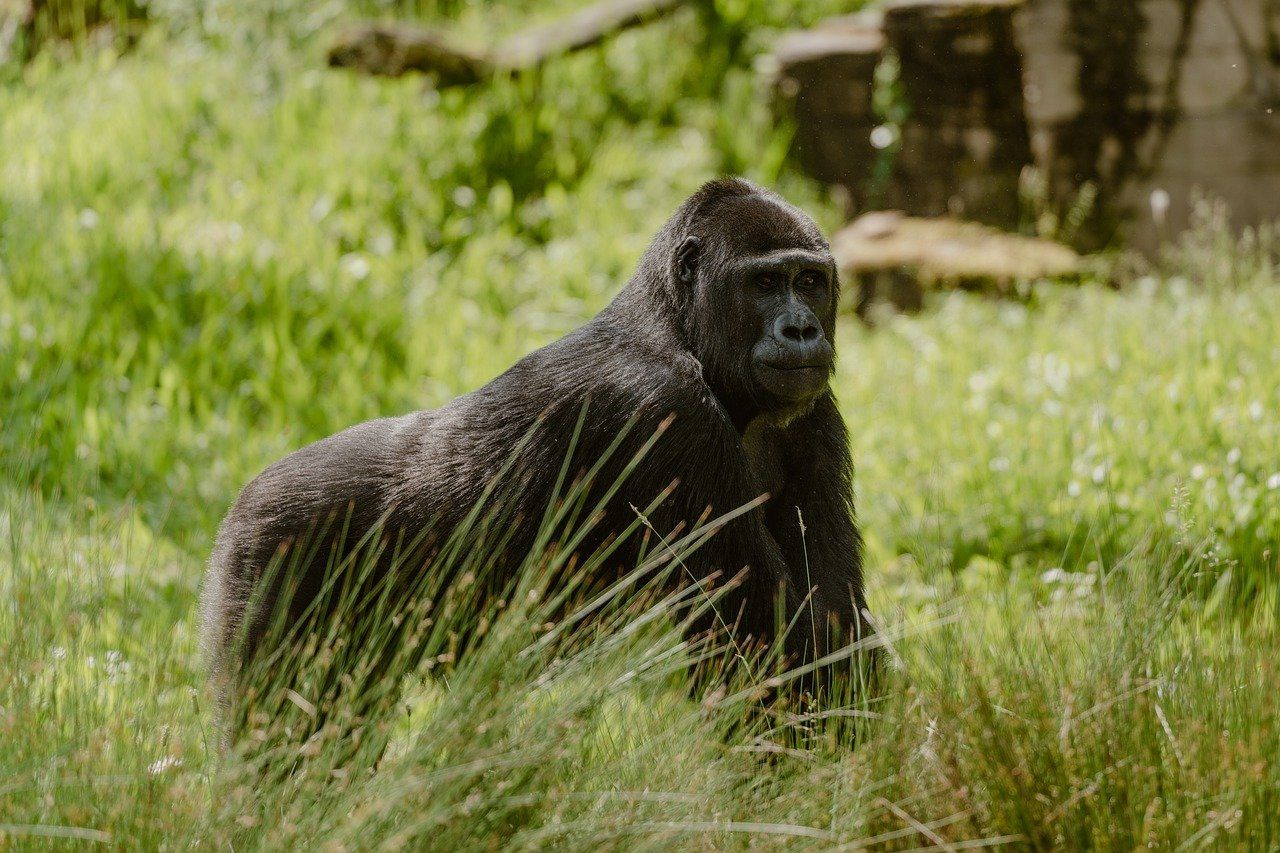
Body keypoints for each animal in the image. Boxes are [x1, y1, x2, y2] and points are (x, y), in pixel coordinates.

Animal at [202, 175, 870, 727]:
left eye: (810, 282)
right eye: (765, 283)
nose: (801, 330)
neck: (682, 329)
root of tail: (239, 507)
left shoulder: (813, 413)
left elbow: (832, 620)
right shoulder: (664, 413)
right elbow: (777, 643)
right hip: (269, 552)